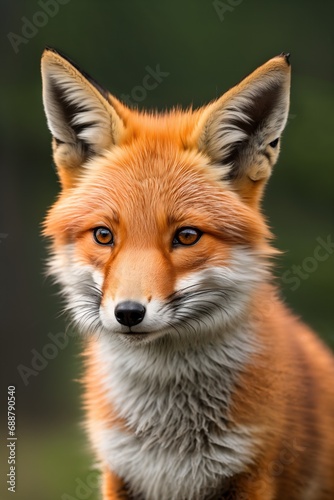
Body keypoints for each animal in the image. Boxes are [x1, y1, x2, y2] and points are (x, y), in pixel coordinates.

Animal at [41, 47, 334, 500]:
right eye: (104, 235)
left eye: (187, 236)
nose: (128, 313)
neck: (171, 444)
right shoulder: (119, 472)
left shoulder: (253, 473)